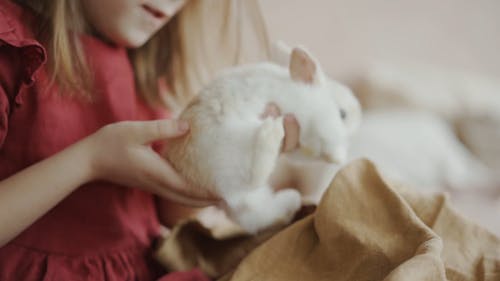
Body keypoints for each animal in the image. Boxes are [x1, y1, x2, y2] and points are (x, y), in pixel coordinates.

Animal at [166, 44, 362, 232]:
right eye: (342, 114)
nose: (359, 117)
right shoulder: (318, 121)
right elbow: (330, 137)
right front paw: (338, 157)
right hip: (230, 145)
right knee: (255, 174)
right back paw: (271, 132)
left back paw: (292, 199)